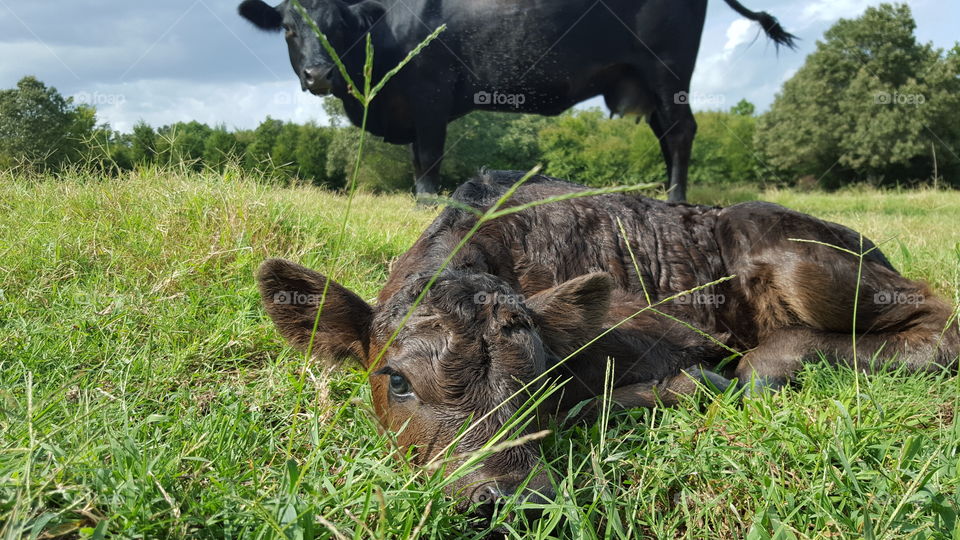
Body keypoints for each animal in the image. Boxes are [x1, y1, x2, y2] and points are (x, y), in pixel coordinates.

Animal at [238, 0, 796, 202]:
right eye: (288, 29)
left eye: (338, 27)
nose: (319, 74)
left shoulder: (429, 96)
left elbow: (428, 155)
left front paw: (427, 198)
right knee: (667, 132)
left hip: (667, 70)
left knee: (681, 131)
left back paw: (675, 197)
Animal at [255, 170, 960, 516]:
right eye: (396, 379)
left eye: (538, 378)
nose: (507, 499)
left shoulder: (675, 334)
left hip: (787, 249)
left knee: (938, 325)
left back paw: (768, 362)